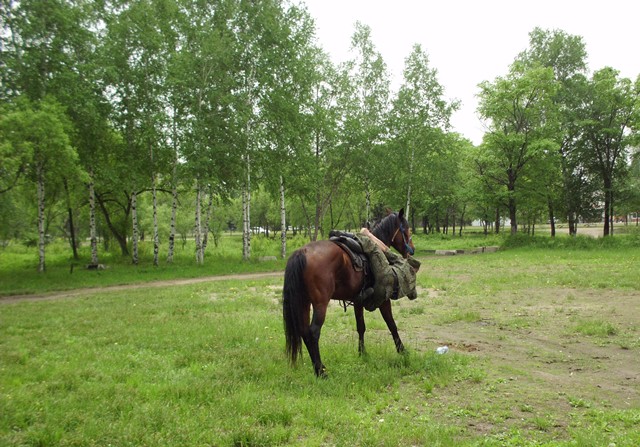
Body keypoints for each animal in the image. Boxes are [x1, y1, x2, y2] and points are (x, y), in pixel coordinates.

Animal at [282, 210, 416, 378]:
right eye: (406, 228)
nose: (411, 250)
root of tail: (302, 252)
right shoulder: (384, 300)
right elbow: (391, 324)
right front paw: (402, 351)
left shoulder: (358, 301)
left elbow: (361, 327)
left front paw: (362, 353)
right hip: (320, 304)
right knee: (313, 332)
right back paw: (321, 372)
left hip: (304, 303)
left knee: (304, 331)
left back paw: (320, 368)